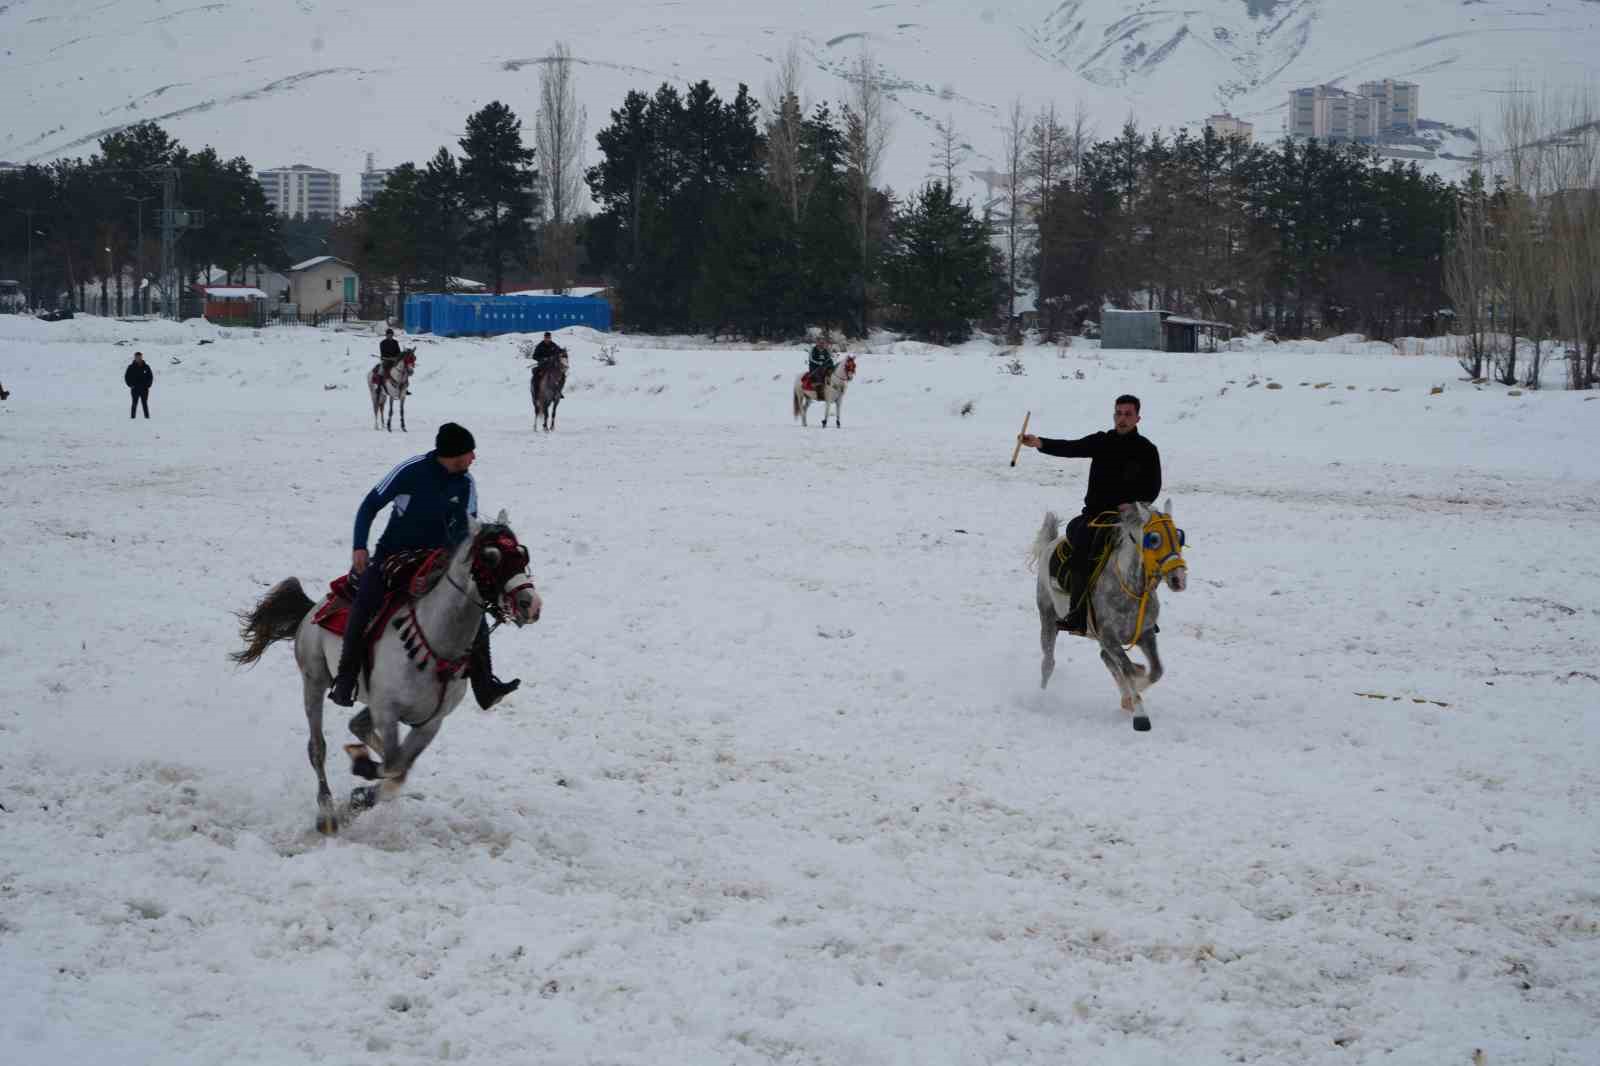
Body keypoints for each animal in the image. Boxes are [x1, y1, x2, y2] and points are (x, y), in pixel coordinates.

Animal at [1024, 499, 1190, 729]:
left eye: (1178, 537)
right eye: (1154, 539)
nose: (1178, 579)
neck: (1128, 588)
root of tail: (1050, 543)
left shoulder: (1145, 634)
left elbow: (1156, 670)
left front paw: (1131, 695)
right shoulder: (1109, 637)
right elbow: (1128, 669)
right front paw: (1139, 712)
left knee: (1105, 658)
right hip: (1048, 618)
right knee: (1048, 663)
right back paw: (1041, 700)